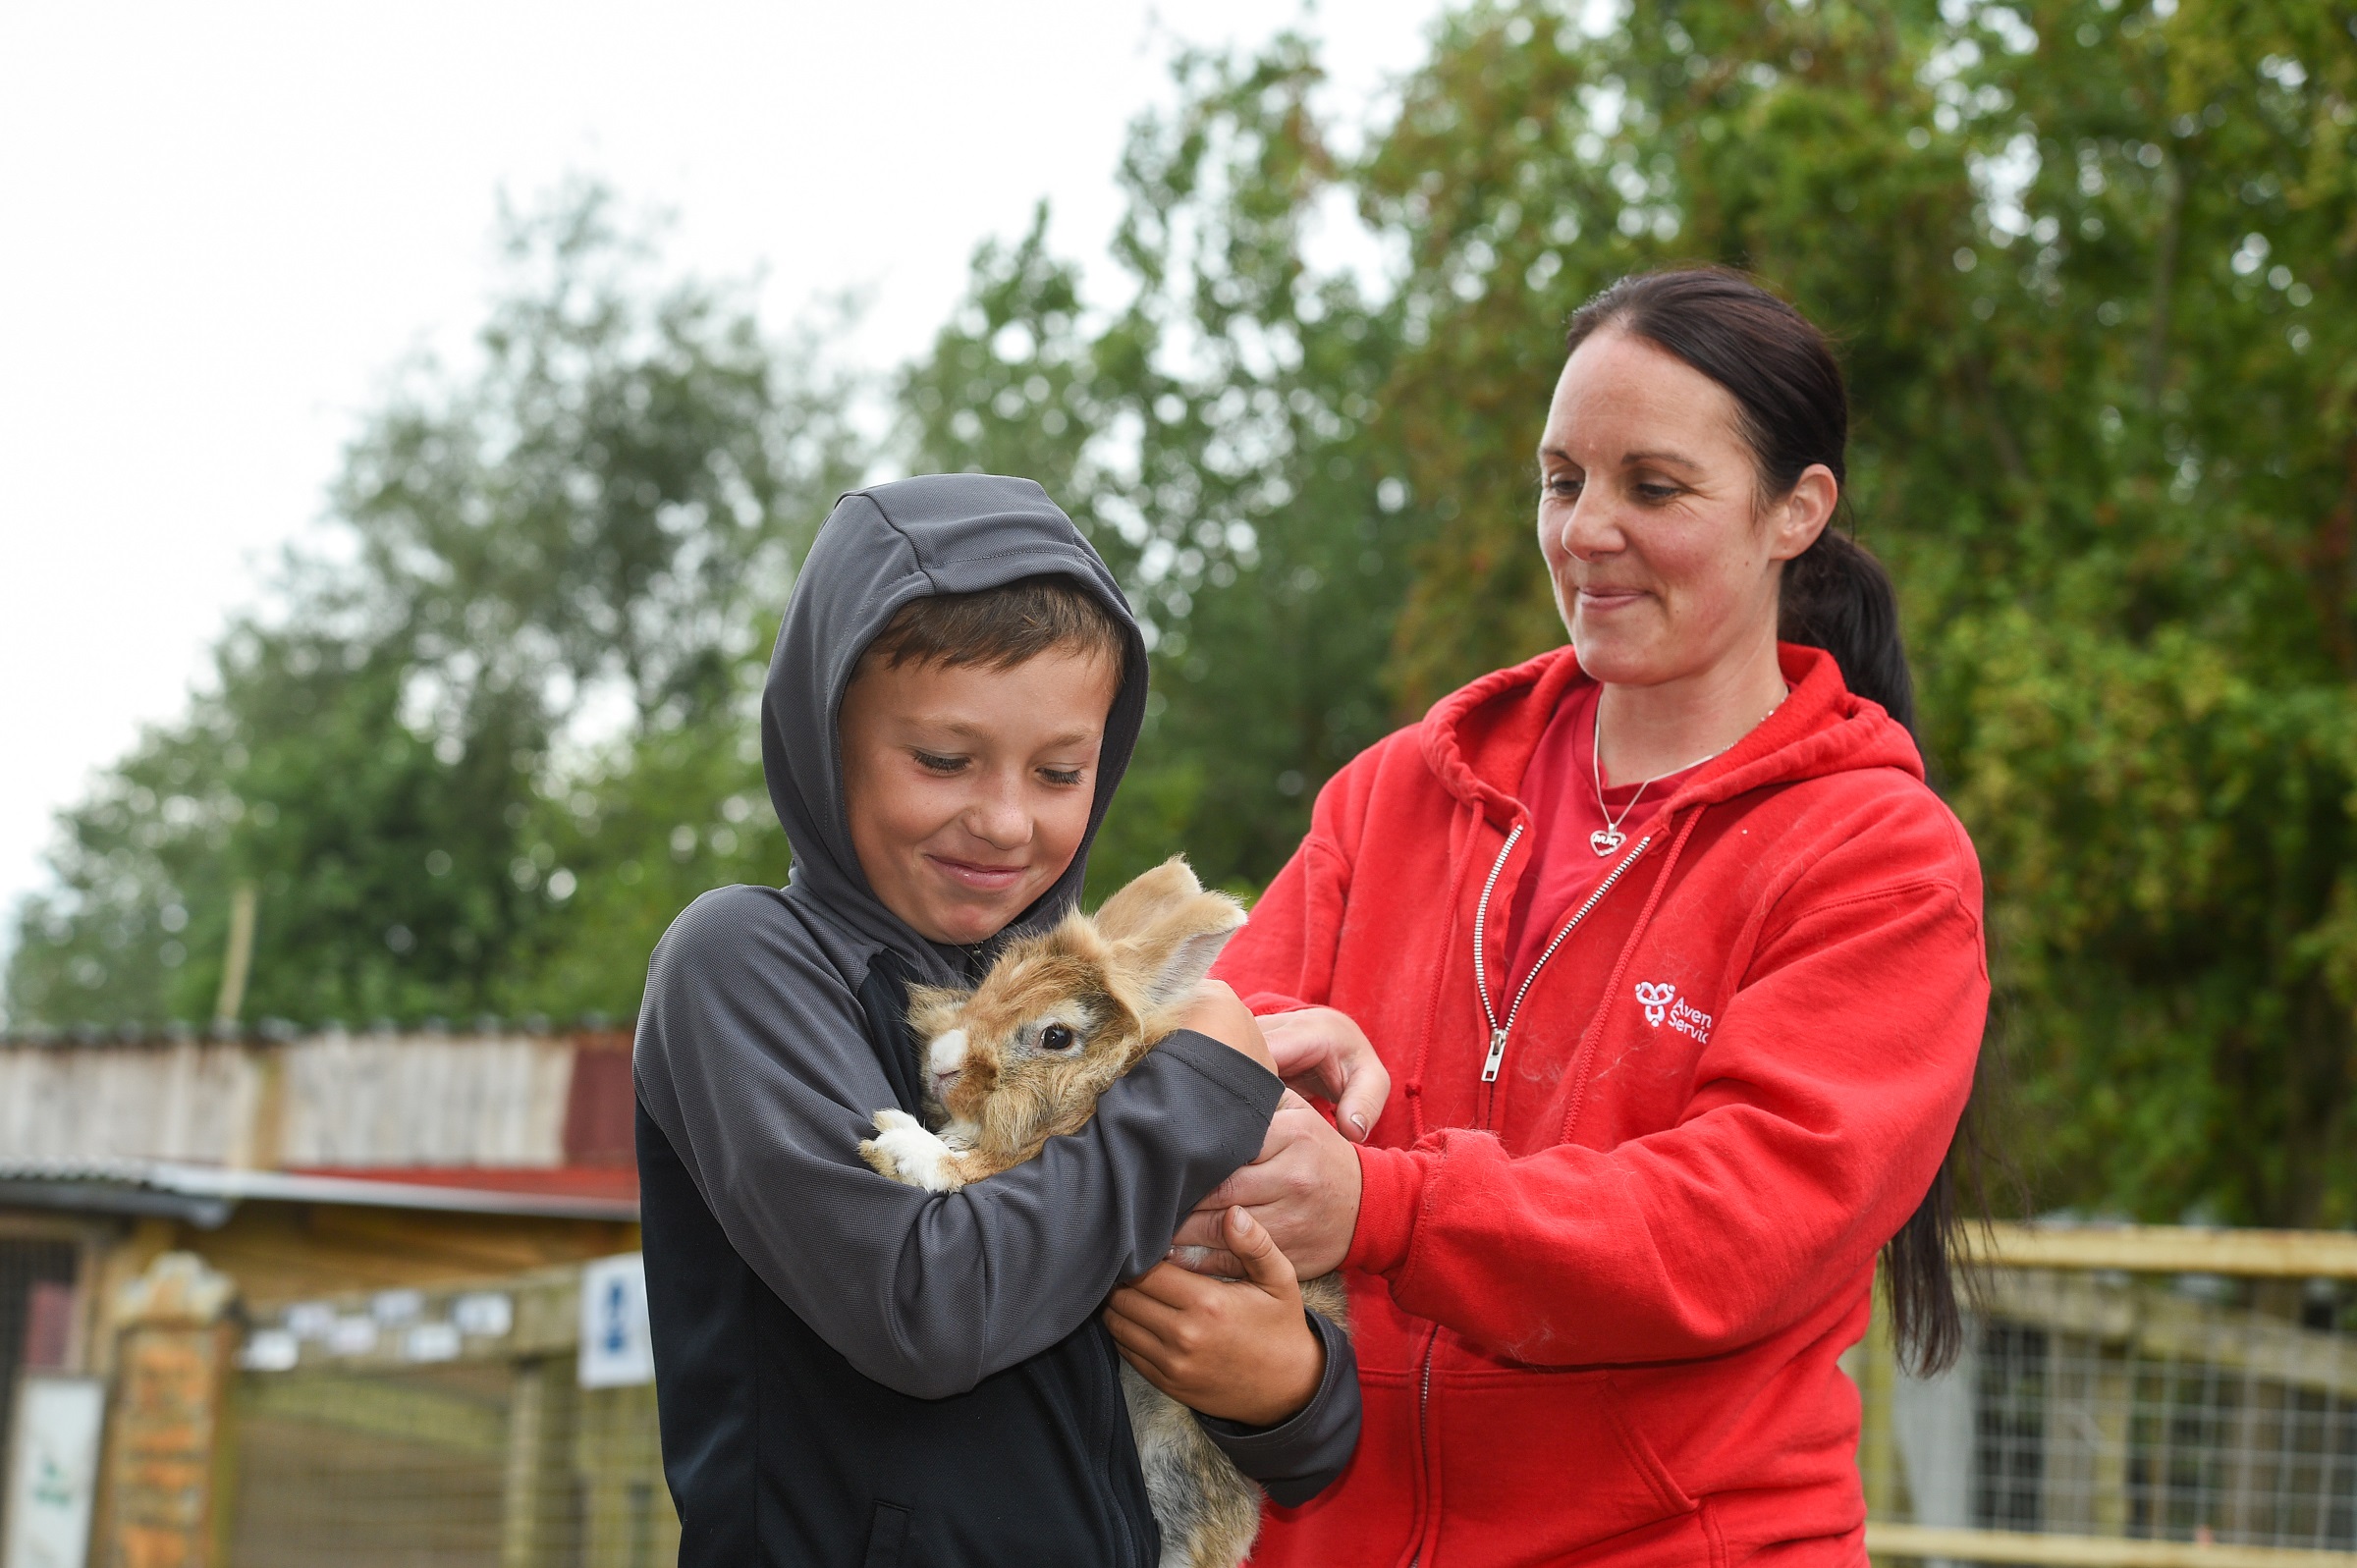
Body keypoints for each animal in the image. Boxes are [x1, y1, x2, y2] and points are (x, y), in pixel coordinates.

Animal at [862, 858, 1347, 1565]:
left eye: (1055, 1035)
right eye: (989, 987)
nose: (945, 1066)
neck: (1108, 1071)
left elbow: (987, 1167)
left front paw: (901, 1142)